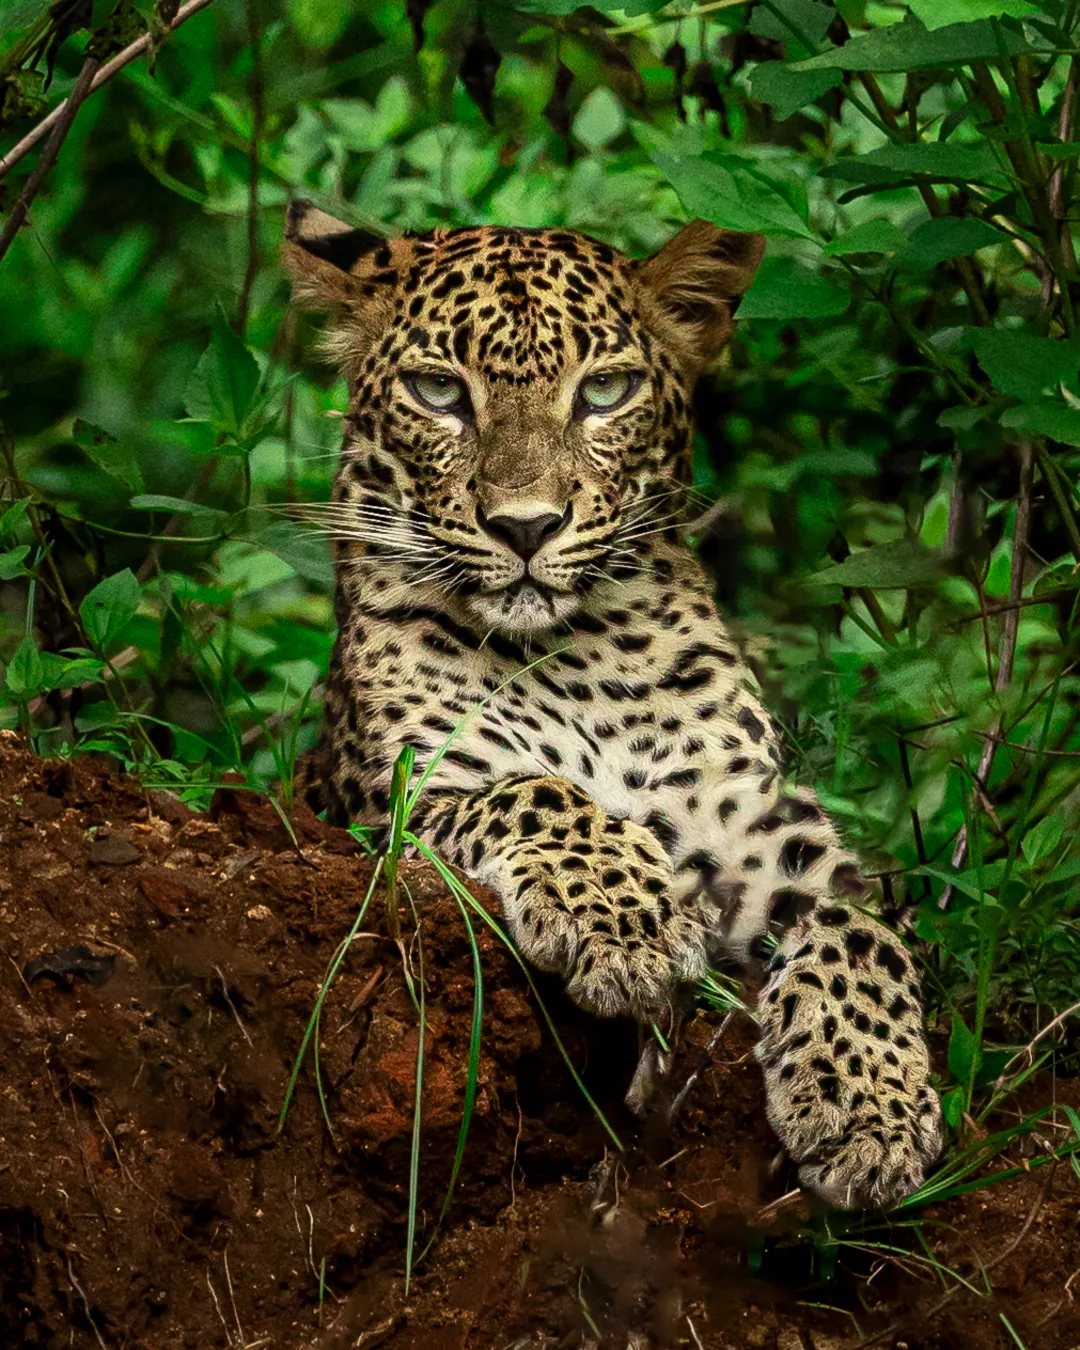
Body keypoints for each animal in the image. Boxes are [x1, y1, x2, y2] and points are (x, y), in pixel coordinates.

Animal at [282, 200, 943, 1210]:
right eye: (438, 391)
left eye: (605, 391)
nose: (525, 526)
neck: (578, 654)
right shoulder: (391, 799)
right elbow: (540, 792)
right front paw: (625, 927)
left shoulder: (761, 830)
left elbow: (863, 928)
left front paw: (868, 1106)